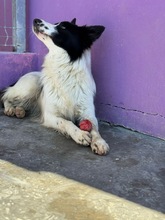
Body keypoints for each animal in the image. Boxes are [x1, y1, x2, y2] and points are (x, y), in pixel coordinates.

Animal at [1, 18, 109, 156]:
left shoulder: (88, 114)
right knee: (5, 96)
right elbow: (66, 122)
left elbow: (95, 129)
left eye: (63, 27)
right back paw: (10, 109)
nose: (36, 20)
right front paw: (79, 134)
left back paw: (19, 110)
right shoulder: (50, 116)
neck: (65, 70)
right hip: (31, 85)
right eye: (57, 23)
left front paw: (99, 142)